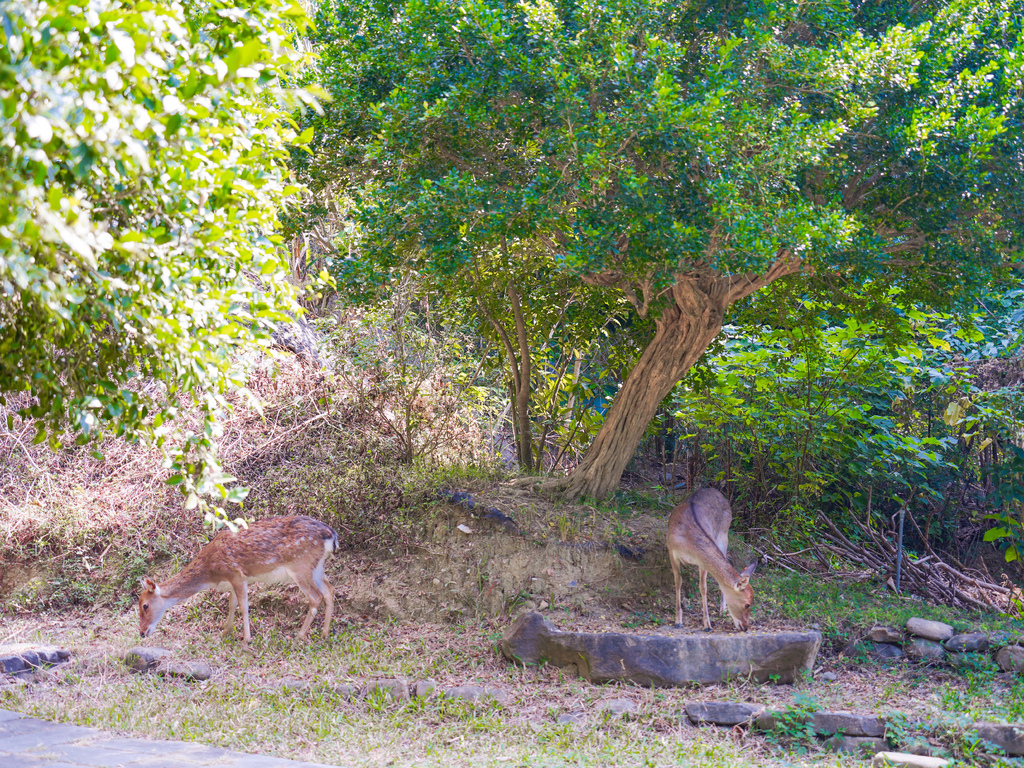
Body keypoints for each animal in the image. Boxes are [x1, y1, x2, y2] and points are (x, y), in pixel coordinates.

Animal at [139, 514, 339, 647]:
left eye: (145, 605)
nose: (141, 633)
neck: (210, 572)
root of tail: (332, 536)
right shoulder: (232, 581)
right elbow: (232, 604)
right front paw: (224, 633)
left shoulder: (236, 574)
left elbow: (243, 605)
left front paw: (246, 639)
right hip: (317, 567)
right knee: (330, 590)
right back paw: (324, 633)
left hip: (300, 565)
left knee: (315, 596)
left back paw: (299, 635)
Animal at [667, 489, 757, 634]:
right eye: (747, 604)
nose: (746, 627)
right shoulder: (671, 550)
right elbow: (678, 582)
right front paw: (678, 621)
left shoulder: (702, 562)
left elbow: (703, 588)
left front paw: (707, 625)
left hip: (724, 535)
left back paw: (722, 610)